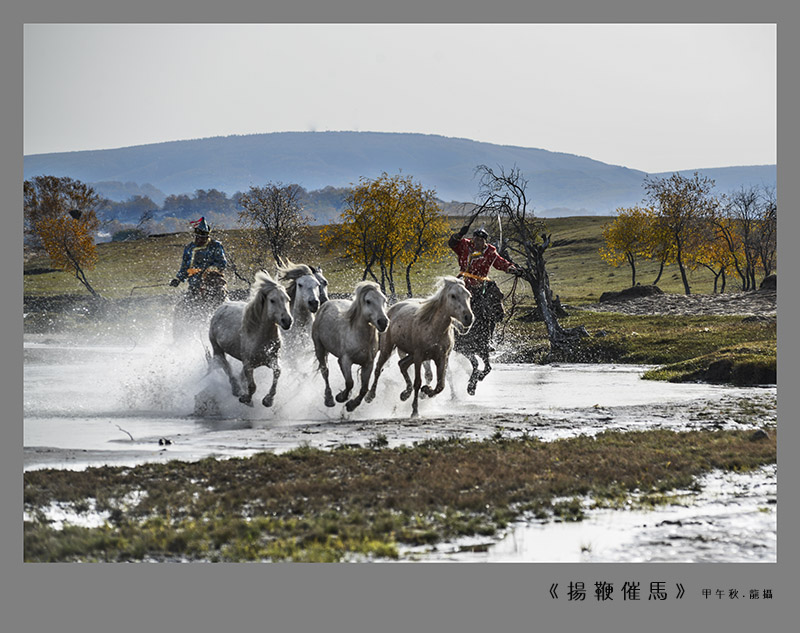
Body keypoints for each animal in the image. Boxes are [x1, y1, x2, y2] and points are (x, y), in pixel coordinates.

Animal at [208, 270, 292, 408]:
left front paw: (268, 400)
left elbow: (277, 372)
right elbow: (252, 386)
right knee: (226, 367)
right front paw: (246, 399)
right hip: (217, 349)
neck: (260, 338)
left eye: (288, 299)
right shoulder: (248, 364)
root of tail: (222, 306)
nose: (287, 321)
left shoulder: (272, 360)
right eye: (272, 300)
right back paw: (236, 389)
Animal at [310, 280, 390, 410]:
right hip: (319, 349)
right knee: (325, 372)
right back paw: (329, 399)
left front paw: (352, 404)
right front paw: (341, 397)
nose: (383, 322)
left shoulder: (368, 364)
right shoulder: (345, 361)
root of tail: (326, 304)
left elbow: (364, 388)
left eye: (384, 300)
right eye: (368, 301)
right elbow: (349, 382)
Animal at [368, 276, 476, 414]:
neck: (434, 329)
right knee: (378, 369)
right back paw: (370, 396)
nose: (468, 318)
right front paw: (415, 411)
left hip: (411, 354)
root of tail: (391, 309)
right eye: (453, 295)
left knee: (402, 364)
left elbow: (440, 385)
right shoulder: (419, 356)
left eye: (468, 295)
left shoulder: (442, 357)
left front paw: (426, 390)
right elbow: (418, 382)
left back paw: (404, 394)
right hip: (388, 348)